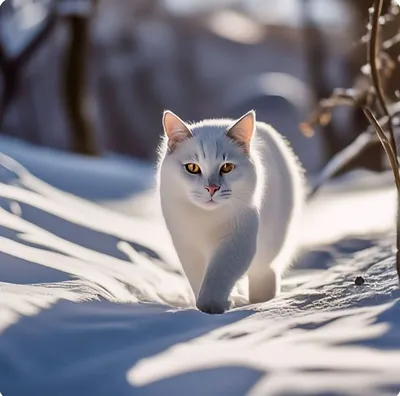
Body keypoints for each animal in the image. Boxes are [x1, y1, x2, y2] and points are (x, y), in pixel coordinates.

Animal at [158, 110, 304, 314]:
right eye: (192, 168)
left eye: (227, 167)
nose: (212, 188)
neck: (206, 219)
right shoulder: (186, 245)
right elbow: (198, 278)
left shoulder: (238, 238)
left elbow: (219, 274)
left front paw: (212, 306)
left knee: (264, 271)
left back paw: (261, 299)